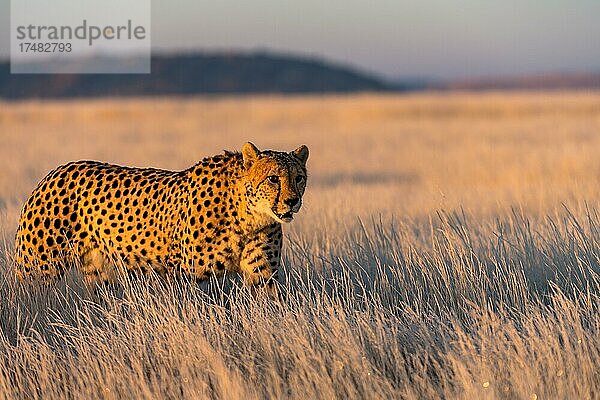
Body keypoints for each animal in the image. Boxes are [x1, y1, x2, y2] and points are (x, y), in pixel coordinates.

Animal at [14, 142, 310, 292]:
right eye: (273, 179)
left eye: (299, 178)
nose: (292, 201)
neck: (248, 216)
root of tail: (56, 170)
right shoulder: (185, 275)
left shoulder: (263, 276)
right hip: (37, 269)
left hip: (99, 273)